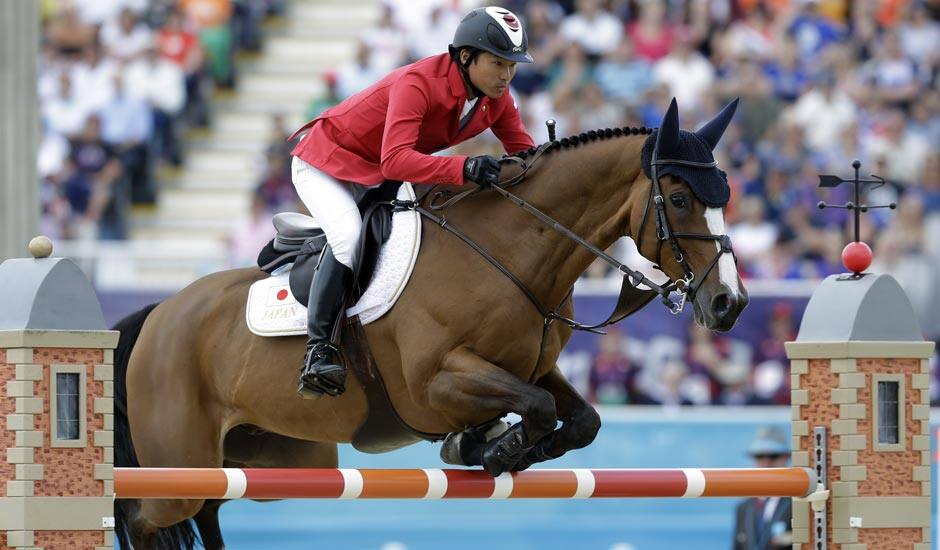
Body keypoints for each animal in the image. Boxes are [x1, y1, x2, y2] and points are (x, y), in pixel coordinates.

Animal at [115, 98, 748, 548]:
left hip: (253, 461)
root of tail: (159, 314)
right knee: (143, 517)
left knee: (205, 515)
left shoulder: (531, 367)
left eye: (726, 197)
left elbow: (579, 418)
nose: (731, 304)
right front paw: (487, 446)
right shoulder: (434, 384)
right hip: (178, 466)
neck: (511, 249)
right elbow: (537, 409)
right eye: (680, 199)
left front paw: (490, 444)